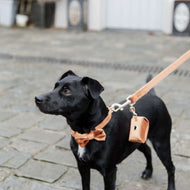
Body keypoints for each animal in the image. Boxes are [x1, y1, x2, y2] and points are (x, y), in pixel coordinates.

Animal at [35, 70, 175, 189]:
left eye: (67, 91)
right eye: (55, 86)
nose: (37, 98)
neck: (87, 132)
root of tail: (153, 95)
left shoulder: (109, 172)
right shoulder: (82, 167)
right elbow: (85, 186)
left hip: (161, 143)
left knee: (171, 167)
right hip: (137, 141)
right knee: (148, 150)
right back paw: (148, 171)